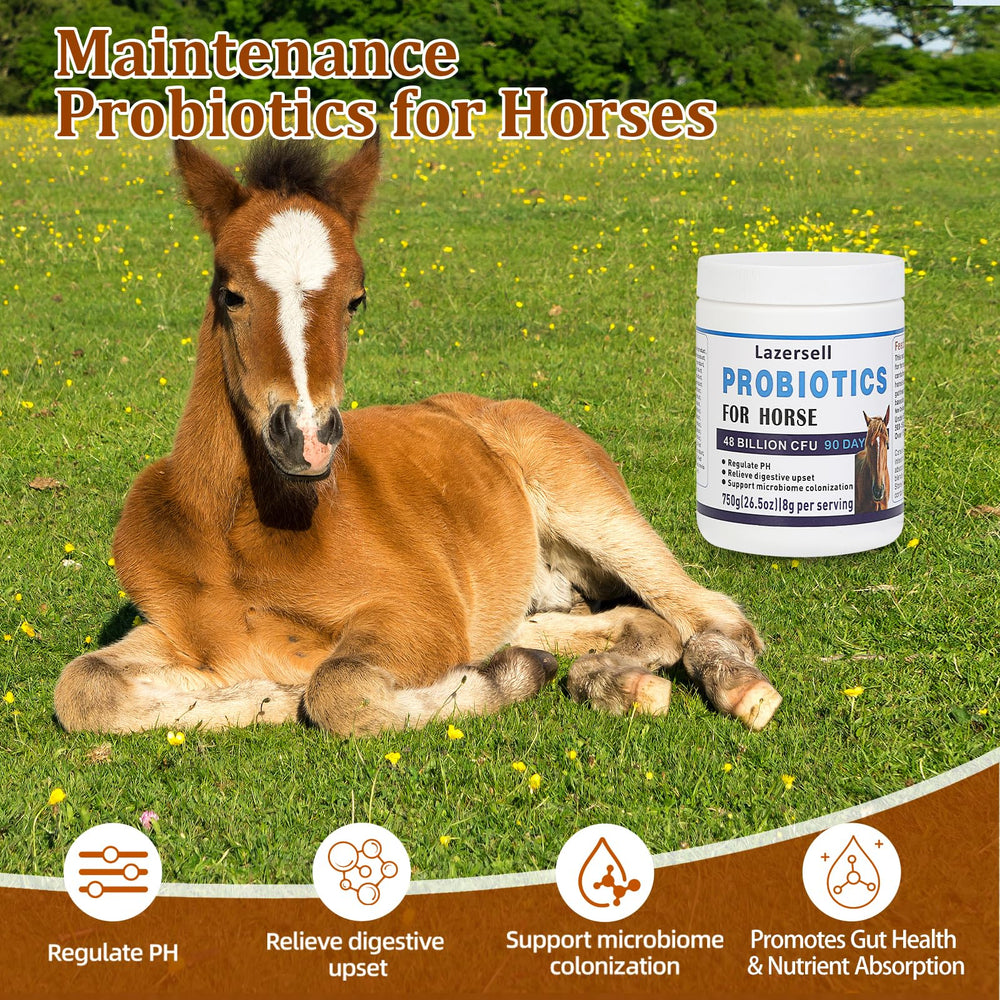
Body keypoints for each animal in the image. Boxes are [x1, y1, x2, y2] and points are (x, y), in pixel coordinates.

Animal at [53, 137, 782, 737]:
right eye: (229, 292)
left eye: (356, 299)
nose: (306, 439)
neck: (237, 532)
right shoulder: (183, 633)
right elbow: (82, 687)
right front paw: (263, 698)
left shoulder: (420, 615)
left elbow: (338, 689)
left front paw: (500, 678)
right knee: (635, 621)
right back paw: (608, 680)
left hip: (595, 509)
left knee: (709, 615)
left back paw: (731, 691)